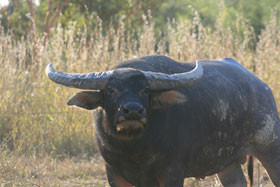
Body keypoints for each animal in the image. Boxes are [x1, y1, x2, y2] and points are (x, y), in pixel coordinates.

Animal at [46, 54, 280, 186]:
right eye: (111, 89)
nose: (133, 111)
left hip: (270, 149)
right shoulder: (114, 172)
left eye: (145, 89)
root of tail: (263, 88)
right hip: (228, 165)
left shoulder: (171, 173)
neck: (133, 151)